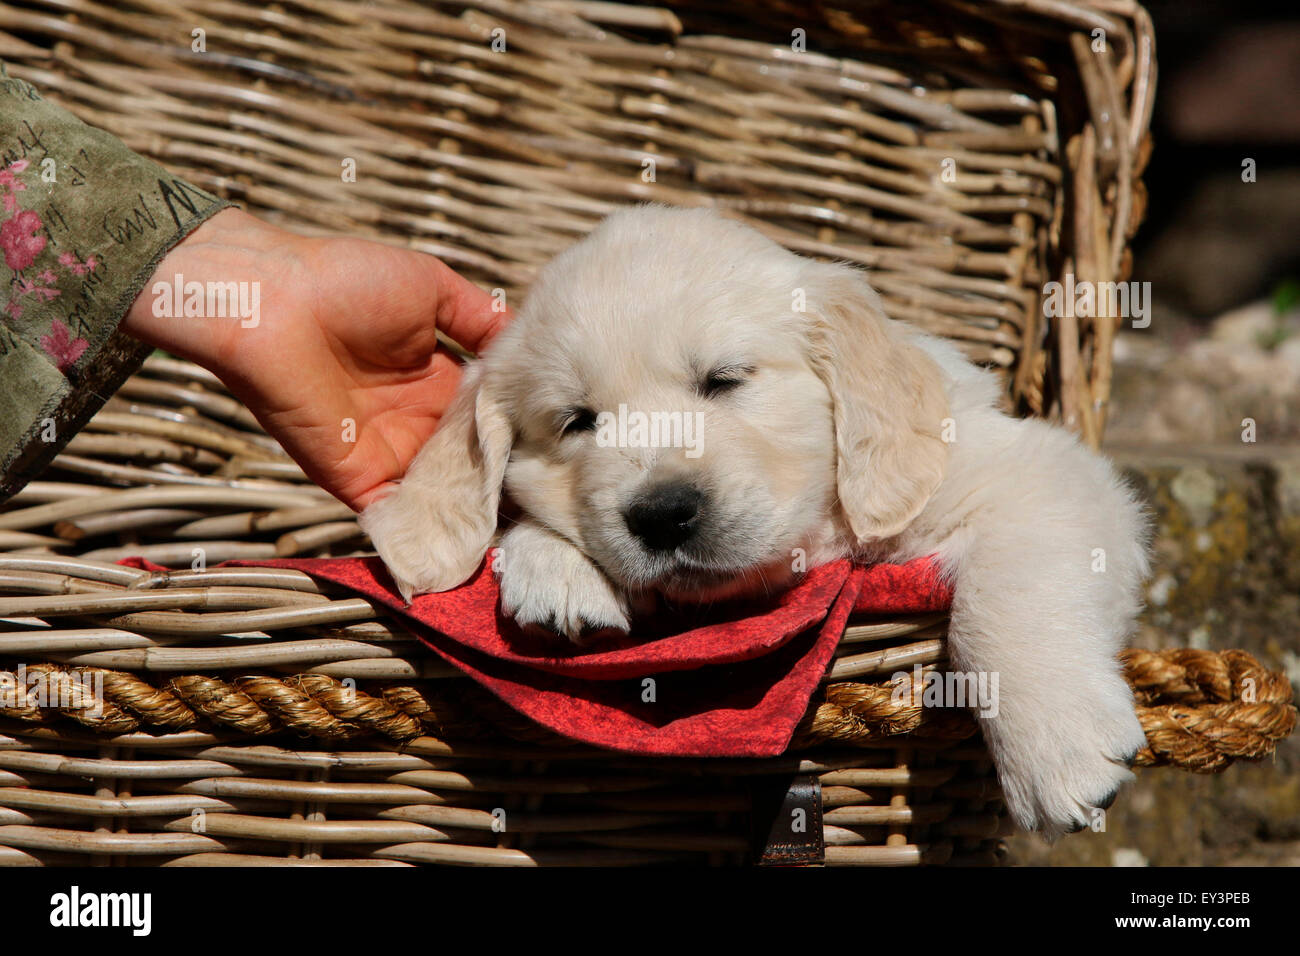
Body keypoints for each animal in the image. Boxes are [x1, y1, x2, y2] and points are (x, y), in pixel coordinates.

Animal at [361, 204, 1154, 837]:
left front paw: (1058, 750)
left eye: (724, 381)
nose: (662, 515)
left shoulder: (1033, 472)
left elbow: (1009, 597)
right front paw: (557, 569)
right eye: (577, 421)